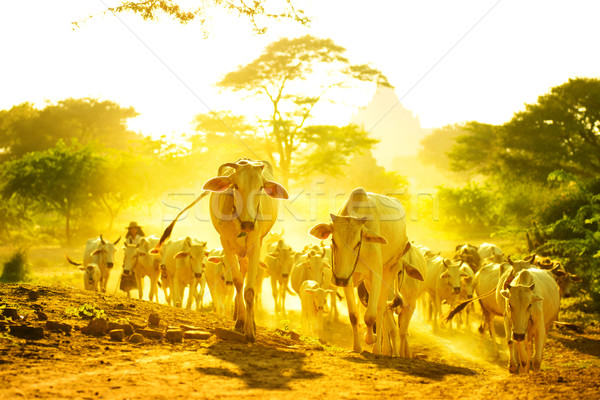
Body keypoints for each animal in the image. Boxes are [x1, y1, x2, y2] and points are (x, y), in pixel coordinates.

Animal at [310, 188, 422, 356]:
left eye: (358, 242)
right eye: (333, 241)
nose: (339, 280)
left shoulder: (375, 275)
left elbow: (370, 316)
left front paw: (371, 339)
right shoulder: (347, 278)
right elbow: (353, 316)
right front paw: (357, 347)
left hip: (390, 270)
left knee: (381, 309)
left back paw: (380, 349)